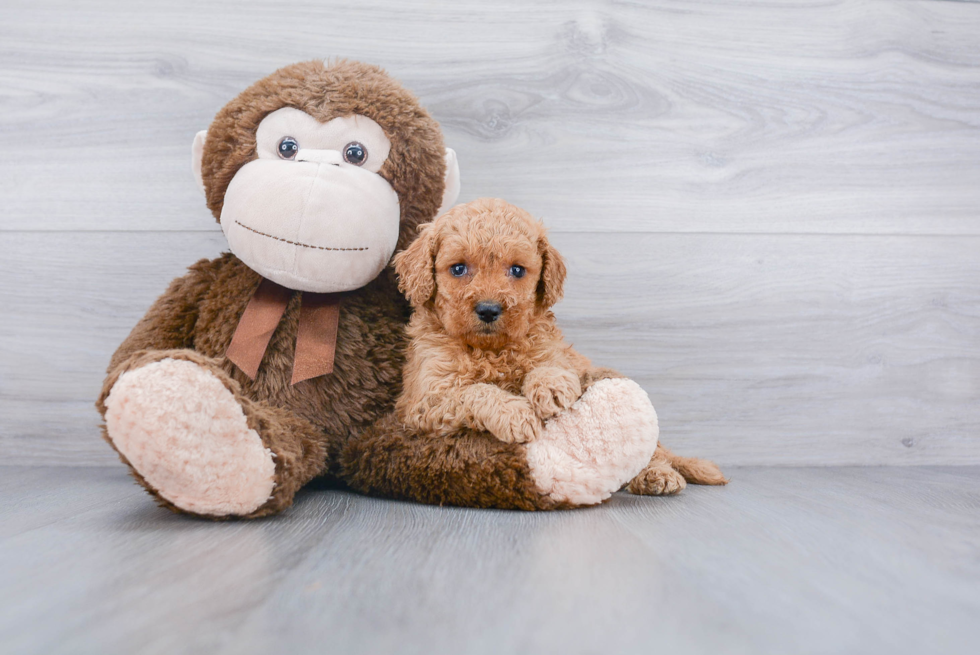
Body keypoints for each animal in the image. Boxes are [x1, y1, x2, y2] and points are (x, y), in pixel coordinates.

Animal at [392, 197, 728, 494]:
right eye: (458, 269)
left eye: (517, 270)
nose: (488, 310)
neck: (492, 350)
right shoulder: (424, 401)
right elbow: (473, 391)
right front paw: (515, 414)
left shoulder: (554, 351)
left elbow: (551, 366)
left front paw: (550, 388)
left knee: (651, 452)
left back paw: (657, 474)